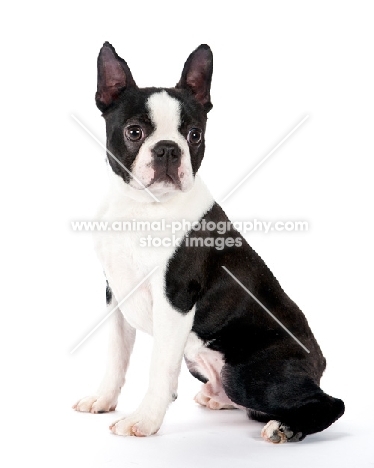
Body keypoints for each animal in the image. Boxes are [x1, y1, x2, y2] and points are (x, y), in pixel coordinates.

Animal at [74, 41, 344, 442]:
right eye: (134, 132)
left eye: (194, 135)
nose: (168, 149)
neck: (142, 208)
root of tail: (319, 362)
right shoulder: (115, 294)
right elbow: (116, 355)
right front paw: (103, 398)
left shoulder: (174, 298)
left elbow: (158, 367)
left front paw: (144, 420)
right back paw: (217, 398)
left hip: (252, 374)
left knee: (328, 404)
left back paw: (285, 427)